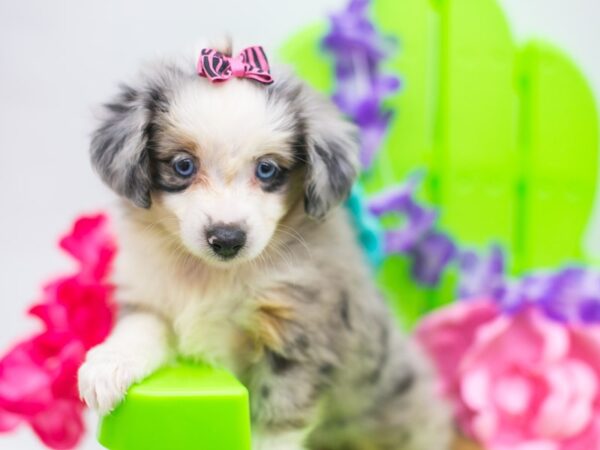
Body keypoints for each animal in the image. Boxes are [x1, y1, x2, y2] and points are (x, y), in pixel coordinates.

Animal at [77, 43, 450, 450]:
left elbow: (276, 418)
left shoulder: (298, 333)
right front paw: (108, 366)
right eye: (183, 165)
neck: (210, 278)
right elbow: (139, 326)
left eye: (267, 169)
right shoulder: (151, 293)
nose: (226, 239)